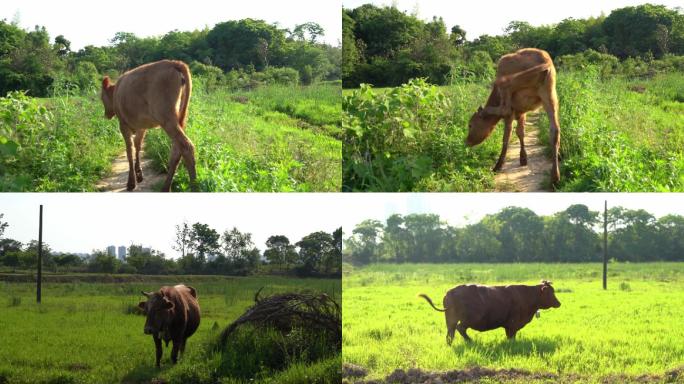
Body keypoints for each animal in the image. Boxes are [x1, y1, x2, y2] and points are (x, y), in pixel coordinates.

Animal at [101, 60, 198, 192]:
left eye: (101, 97)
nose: (106, 114)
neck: (116, 91)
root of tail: (175, 63)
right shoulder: (141, 126)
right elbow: (137, 145)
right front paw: (138, 173)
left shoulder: (123, 124)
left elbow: (129, 150)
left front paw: (131, 182)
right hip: (181, 118)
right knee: (176, 150)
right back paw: (165, 187)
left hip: (167, 118)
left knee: (186, 147)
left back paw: (194, 186)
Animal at [416, 280, 560, 344]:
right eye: (550, 292)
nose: (559, 303)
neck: (527, 295)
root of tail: (450, 292)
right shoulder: (512, 324)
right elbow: (511, 336)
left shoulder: (509, 325)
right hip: (468, 319)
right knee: (460, 328)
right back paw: (470, 341)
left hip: (450, 320)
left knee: (450, 334)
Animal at [464, 47, 560, 185]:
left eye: (470, 125)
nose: (466, 141)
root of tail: (544, 58)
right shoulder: (522, 112)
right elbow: (520, 132)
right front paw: (523, 158)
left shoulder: (511, 113)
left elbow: (507, 136)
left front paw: (500, 164)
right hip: (549, 96)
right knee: (555, 130)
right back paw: (555, 176)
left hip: (510, 82)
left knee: (505, 102)